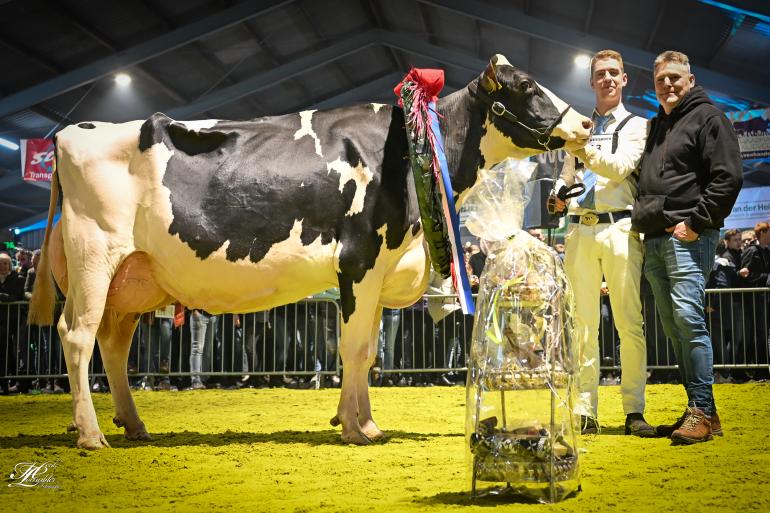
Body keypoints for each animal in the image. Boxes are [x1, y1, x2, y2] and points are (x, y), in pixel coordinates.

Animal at [30, 55, 588, 448]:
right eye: (527, 86)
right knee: (77, 336)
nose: (583, 124)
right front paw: (356, 429)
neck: (409, 151)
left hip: (134, 279)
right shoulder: (359, 260)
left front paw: (364, 422)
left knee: (113, 344)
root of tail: (72, 132)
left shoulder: (379, 271)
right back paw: (91, 434)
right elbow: (354, 350)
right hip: (94, 257)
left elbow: (367, 352)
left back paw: (133, 424)